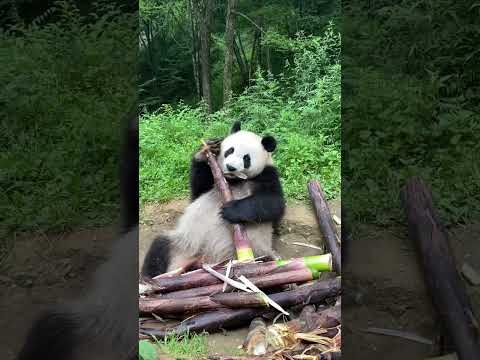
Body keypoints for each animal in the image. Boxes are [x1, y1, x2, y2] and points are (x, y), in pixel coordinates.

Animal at [142, 122, 284, 278]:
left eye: (246, 158)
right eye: (229, 151)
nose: (231, 167)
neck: (234, 180)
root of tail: (206, 262)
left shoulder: (268, 174)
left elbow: (273, 204)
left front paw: (230, 210)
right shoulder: (209, 182)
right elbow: (197, 191)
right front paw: (206, 150)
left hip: (257, 253)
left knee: (266, 262)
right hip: (183, 244)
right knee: (160, 247)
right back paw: (150, 278)